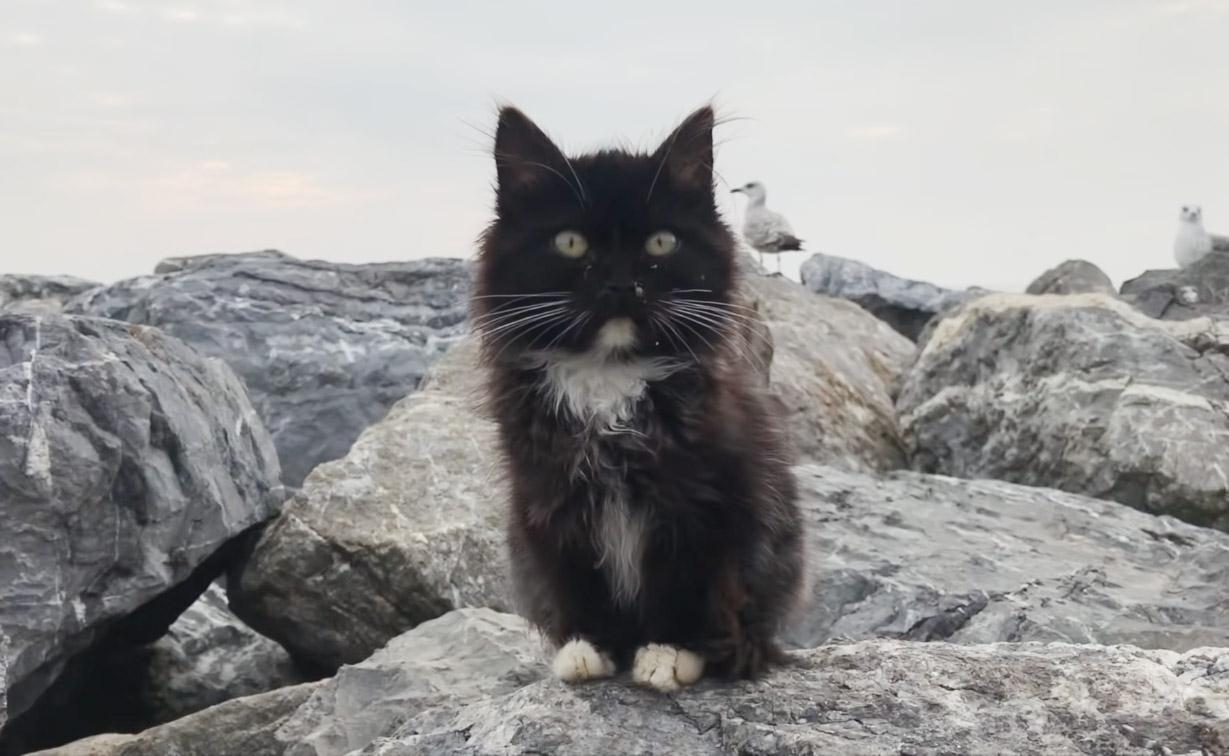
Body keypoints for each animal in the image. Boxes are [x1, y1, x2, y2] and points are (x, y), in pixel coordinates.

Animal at [471, 106, 806, 693]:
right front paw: (590, 646)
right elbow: (576, 576)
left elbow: (688, 582)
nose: (621, 284)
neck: (608, 377)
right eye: (571, 243)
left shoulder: (706, 501)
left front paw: (670, 652)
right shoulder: (548, 497)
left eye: (660, 243)